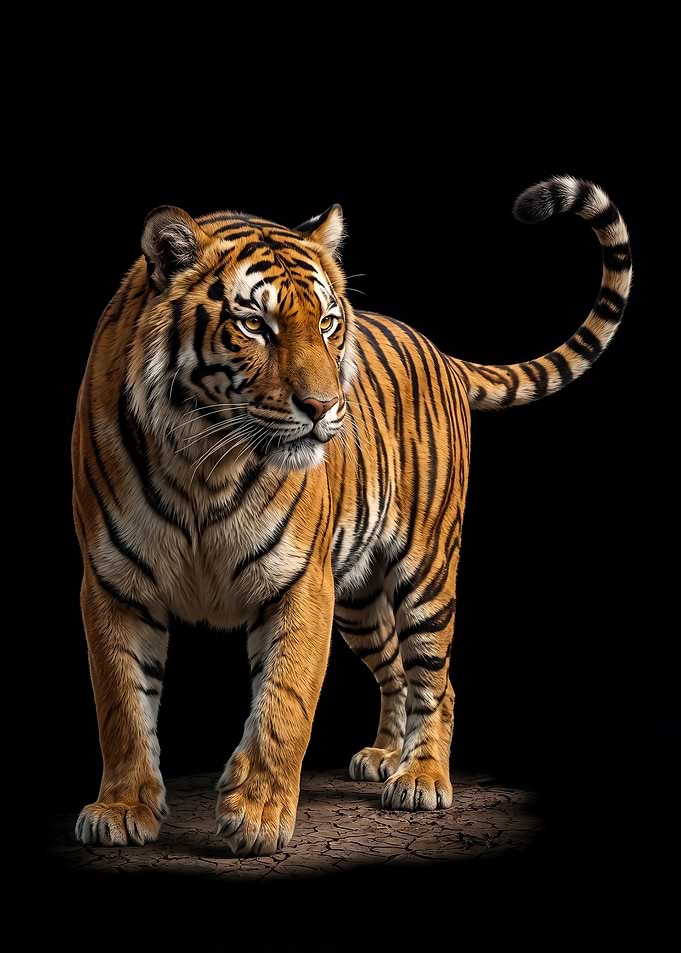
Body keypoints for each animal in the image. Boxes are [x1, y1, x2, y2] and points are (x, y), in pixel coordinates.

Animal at [72, 175, 632, 856]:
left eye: (329, 322)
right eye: (254, 324)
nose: (323, 406)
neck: (203, 461)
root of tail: (440, 351)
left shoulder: (300, 583)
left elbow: (283, 703)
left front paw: (257, 815)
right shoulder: (112, 583)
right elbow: (122, 707)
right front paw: (122, 809)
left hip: (427, 571)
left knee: (436, 680)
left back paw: (421, 777)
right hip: (359, 599)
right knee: (394, 667)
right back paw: (387, 756)